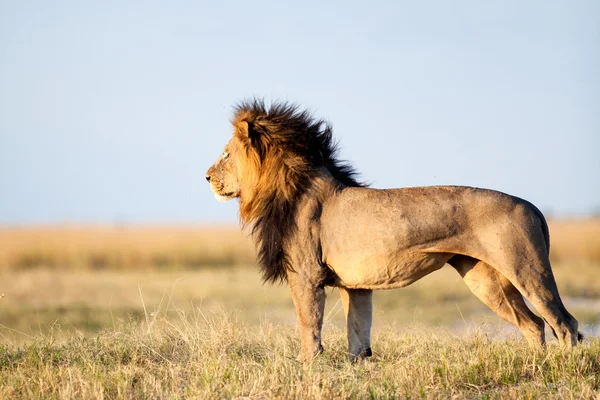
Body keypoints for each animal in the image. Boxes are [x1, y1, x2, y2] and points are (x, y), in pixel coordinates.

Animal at [206, 100, 580, 362]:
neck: (287, 186)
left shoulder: (306, 276)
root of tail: (533, 206)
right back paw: (534, 367)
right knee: (534, 324)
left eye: (225, 154)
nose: (206, 176)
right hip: (486, 280)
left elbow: (309, 330)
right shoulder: (355, 286)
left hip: (527, 269)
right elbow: (358, 338)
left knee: (565, 324)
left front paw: (308, 370)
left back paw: (561, 370)